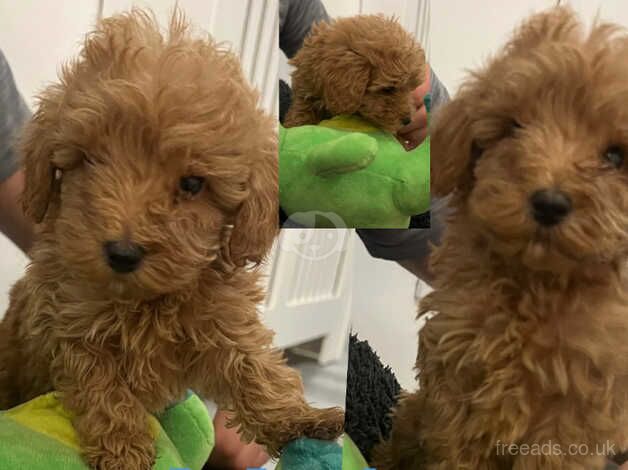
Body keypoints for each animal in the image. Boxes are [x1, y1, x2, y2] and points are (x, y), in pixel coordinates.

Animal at [0, 11, 344, 470]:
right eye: (89, 160)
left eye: (193, 184)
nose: (122, 253)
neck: (144, 302)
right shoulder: (66, 322)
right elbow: (99, 383)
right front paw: (124, 449)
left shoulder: (221, 319)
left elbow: (252, 366)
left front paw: (300, 418)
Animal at [284, 14, 426, 134]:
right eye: (388, 89)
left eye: (410, 89)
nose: (408, 121)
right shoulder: (305, 88)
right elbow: (302, 111)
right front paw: (295, 125)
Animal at [372, 7, 628, 470]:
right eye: (514, 128)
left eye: (616, 156)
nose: (548, 203)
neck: (535, 286)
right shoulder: (459, 372)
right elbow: (455, 451)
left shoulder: (574, 412)